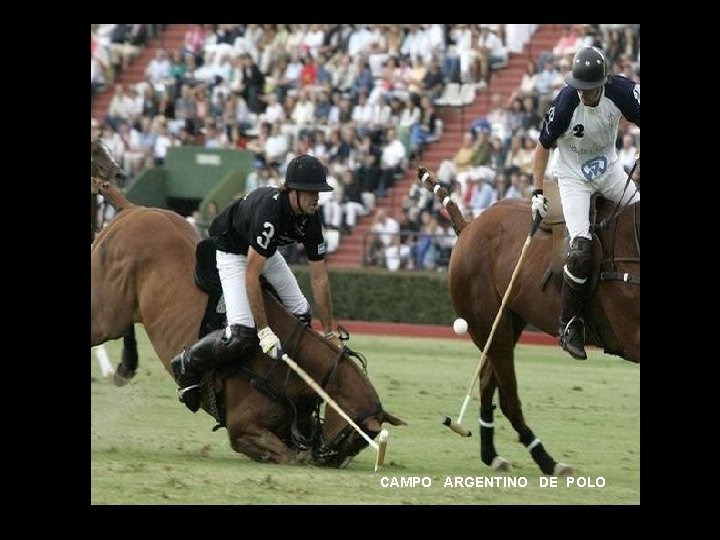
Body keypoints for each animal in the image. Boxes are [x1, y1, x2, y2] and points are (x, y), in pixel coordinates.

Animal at [88, 142, 404, 464]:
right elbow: (289, 456)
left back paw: (125, 367)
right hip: (105, 313)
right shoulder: (243, 430)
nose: (326, 458)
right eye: (353, 438)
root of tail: (132, 209)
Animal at [420, 167, 640, 474]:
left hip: (509, 321)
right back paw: (547, 460)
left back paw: (492, 455)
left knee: (487, 381)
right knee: (509, 398)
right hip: (490, 324)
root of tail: (469, 225)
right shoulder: (633, 339)